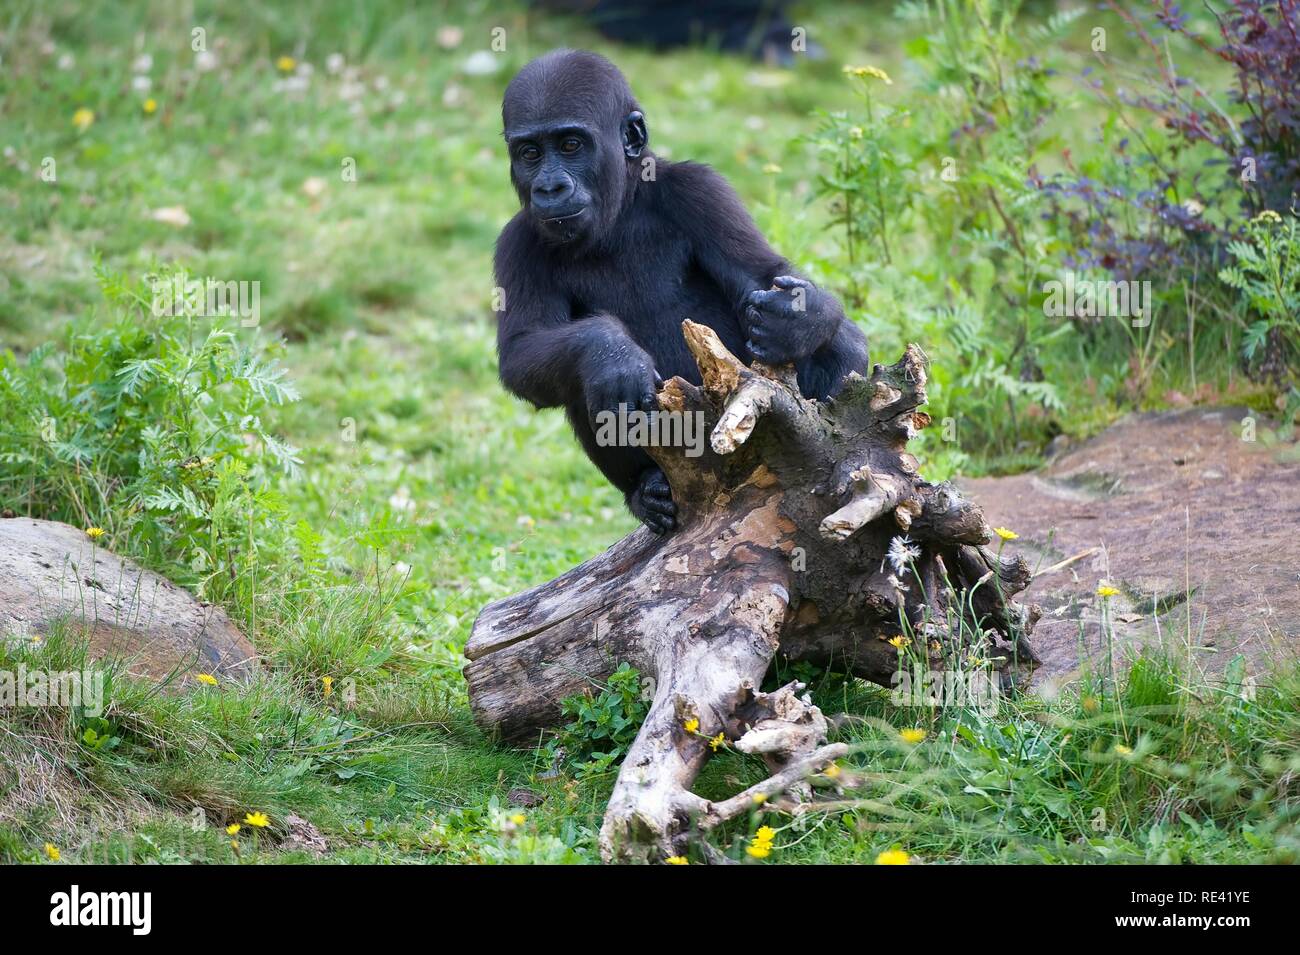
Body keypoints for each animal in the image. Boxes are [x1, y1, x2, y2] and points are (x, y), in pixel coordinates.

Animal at [491, 48, 868, 535]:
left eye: (571, 145)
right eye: (531, 153)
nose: (549, 187)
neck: (623, 208)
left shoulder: (700, 190)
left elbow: (763, 274)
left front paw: (803, 317)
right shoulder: (517, 244)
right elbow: (525, 350)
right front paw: (611, 351)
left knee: (842, 343)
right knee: (579, 375)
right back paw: (645, 489)